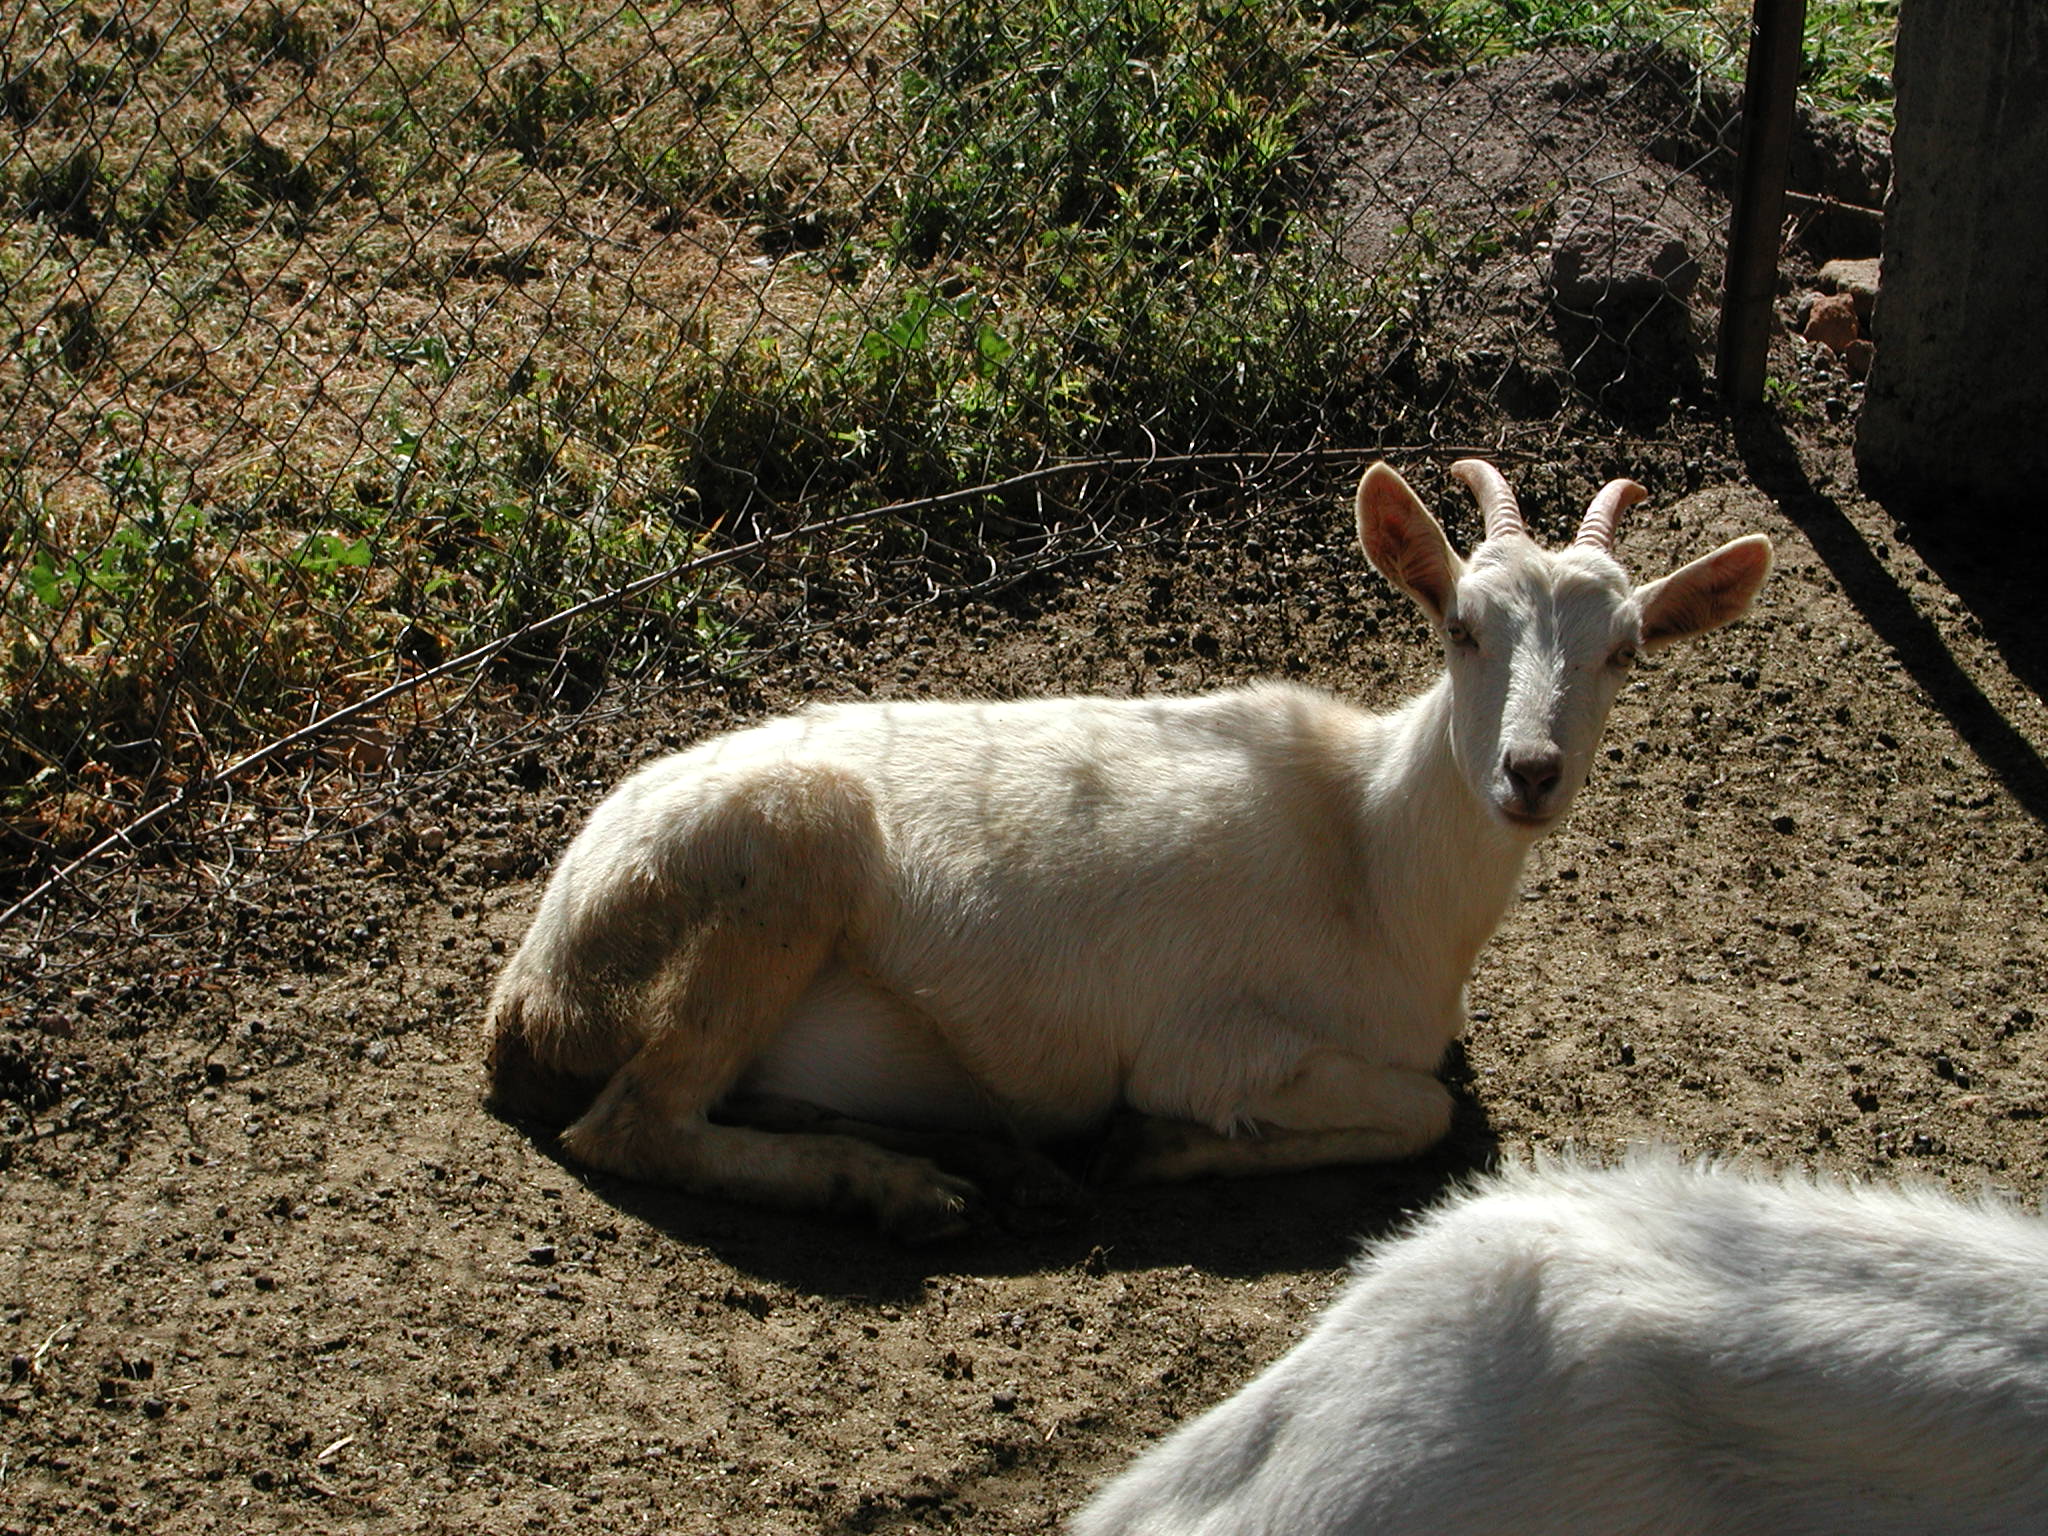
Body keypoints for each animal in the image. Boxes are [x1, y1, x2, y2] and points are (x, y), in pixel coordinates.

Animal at [484, 461, 1773, 1239]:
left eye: (1625, 651)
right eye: (1458, 626)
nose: (1528, 771)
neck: (1369, 857)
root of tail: (528, 990)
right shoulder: (1214, 1044)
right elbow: (1422, 1114)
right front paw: (1156, 1148)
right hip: (780, 855)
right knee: (631, 1124)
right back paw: (900, 1190)